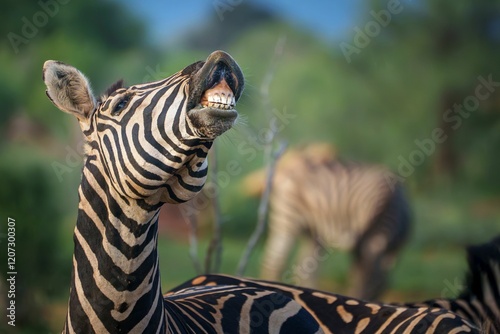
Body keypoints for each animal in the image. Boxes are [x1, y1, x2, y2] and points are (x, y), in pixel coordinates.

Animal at [250, 144, 410, 300]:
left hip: (312, 230)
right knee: (274, 262)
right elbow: (364, 276)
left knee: (304, 270)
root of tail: (287, 164)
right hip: (288, 216)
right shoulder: (374, 236)